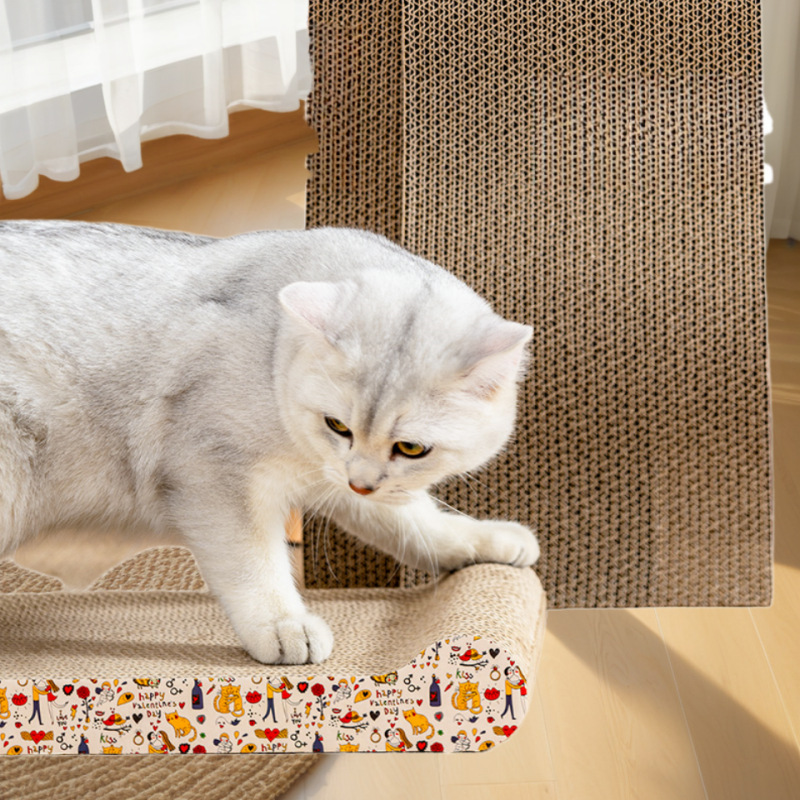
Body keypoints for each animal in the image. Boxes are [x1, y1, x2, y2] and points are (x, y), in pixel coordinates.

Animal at [0, 221, 539, 665]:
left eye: (410, 449)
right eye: (337, 425)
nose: (361, 482)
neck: (273, 351)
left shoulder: (339, 478)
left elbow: (415, 522)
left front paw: (484, 540)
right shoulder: (214, 472)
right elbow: (254, 561)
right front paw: (282, 624)